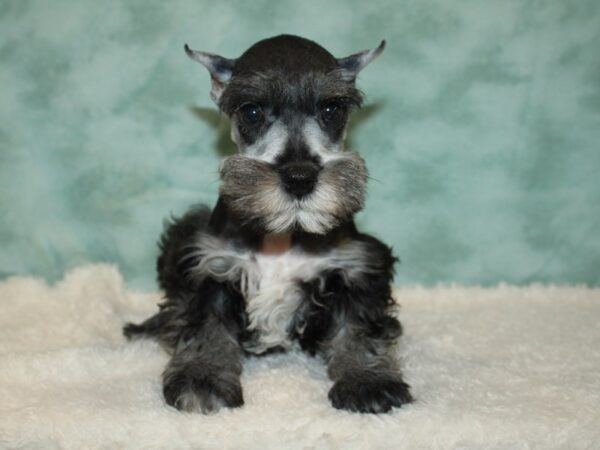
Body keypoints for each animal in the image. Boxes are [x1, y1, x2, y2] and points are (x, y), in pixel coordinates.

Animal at [123, 34, 412, 414]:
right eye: (251, 111)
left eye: (332, 110)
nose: (299, 177)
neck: (283, 233)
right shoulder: (209, 266)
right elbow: (205, 329)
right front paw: (202, 379)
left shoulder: (358, 267)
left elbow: (359, 329)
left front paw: (368, 381)